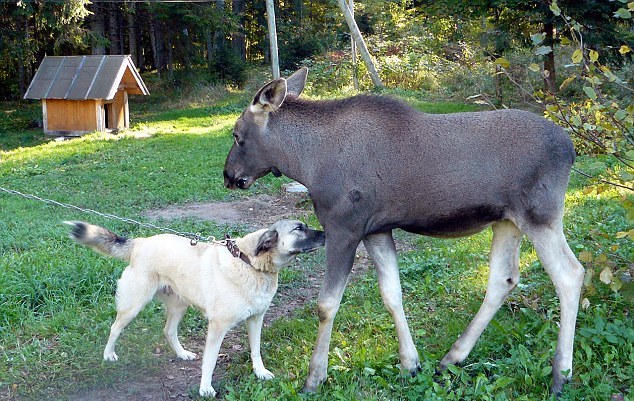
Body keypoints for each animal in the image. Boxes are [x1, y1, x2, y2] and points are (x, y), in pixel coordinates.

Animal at [66, 220, 324, 396]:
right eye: (298, 228)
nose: (325, 234)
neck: (250, 263)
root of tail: (140, 242)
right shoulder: (217, 328)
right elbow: (209, 362)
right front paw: (205, 388)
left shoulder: (256, 318)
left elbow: (256, 350)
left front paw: (260, 372)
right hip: (134, 305)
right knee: (115, 328)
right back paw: (108, 354)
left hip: (179, 306)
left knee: (168, 331)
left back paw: (182, 354)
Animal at [222, 66, 584, 394]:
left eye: (237, 135)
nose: (229, 176)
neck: (307, 162)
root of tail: (571, 149)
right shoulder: (376, 230)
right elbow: (392, 294)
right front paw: (410, 363)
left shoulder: (344, 228)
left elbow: (326, 305)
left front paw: (315, 377)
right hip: (507, 220)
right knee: (503, 279)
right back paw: (452, 358)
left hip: (540, 215)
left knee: (570, 274)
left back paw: (561, 374)